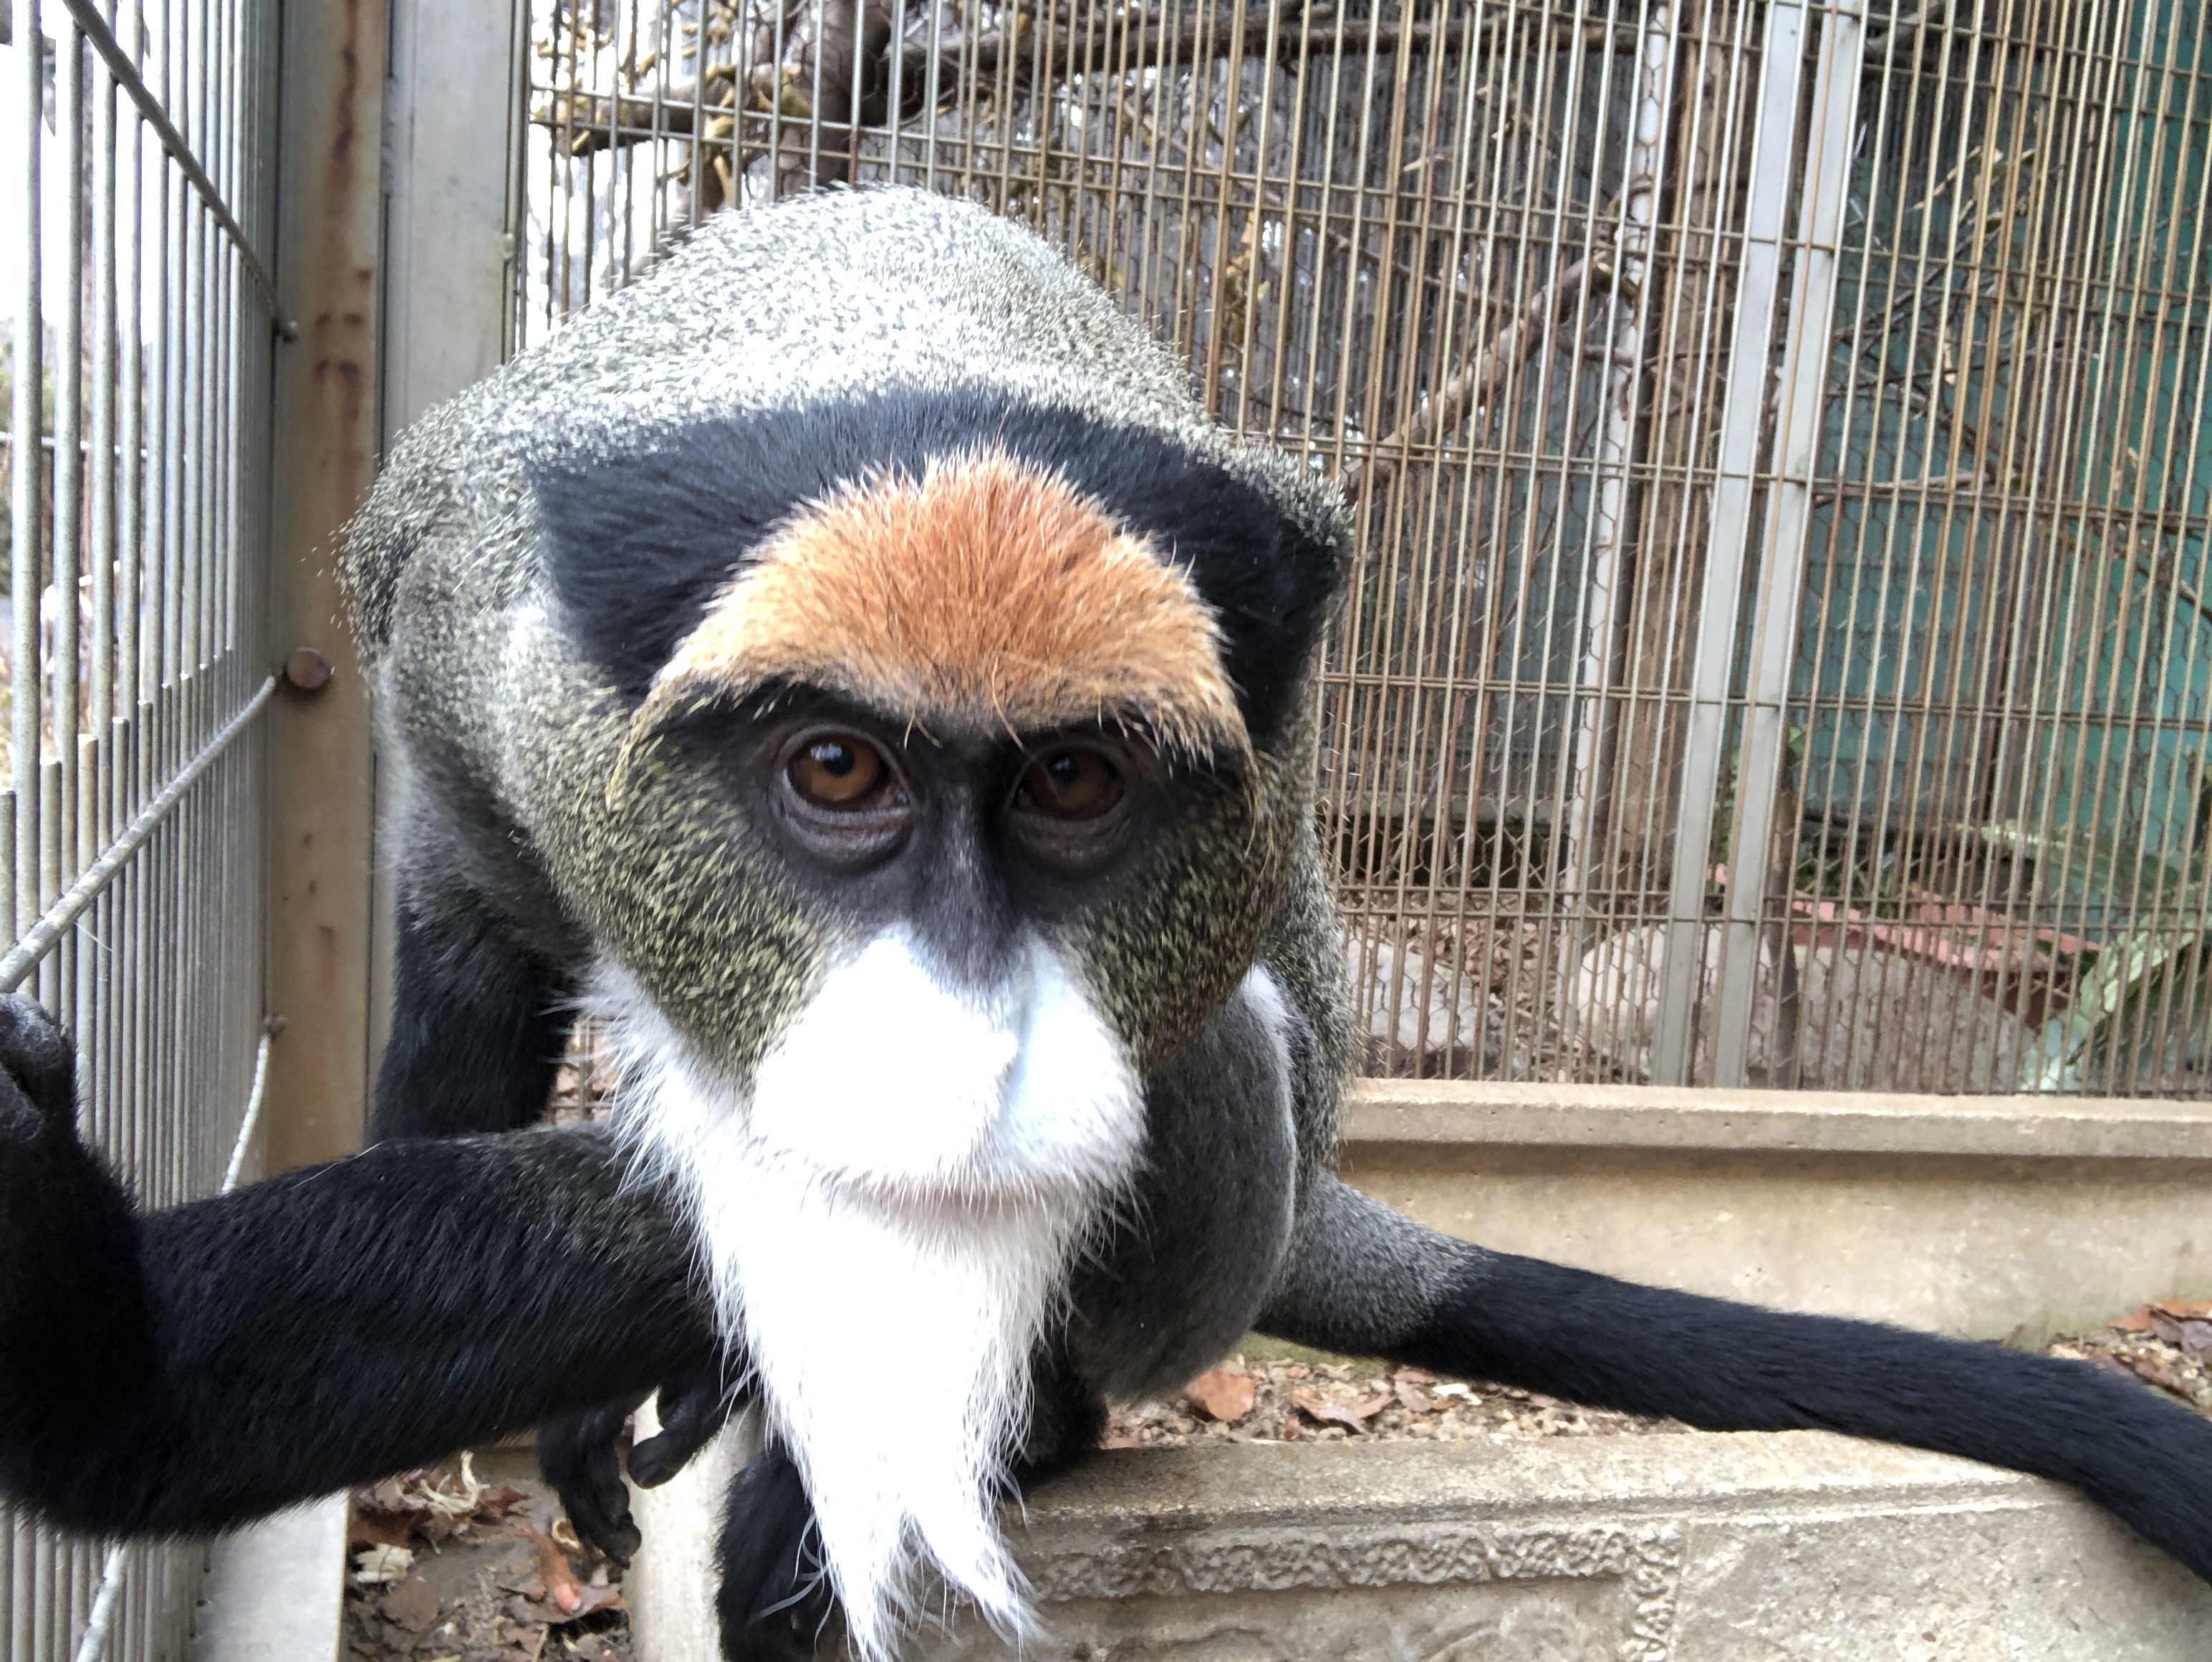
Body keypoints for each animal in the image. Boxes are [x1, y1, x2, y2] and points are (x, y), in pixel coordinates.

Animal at [0, 188, 2203, 1655]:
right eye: (835, 774)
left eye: (1077, 786)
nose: (969, 1040)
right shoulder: (470, 657)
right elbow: (483, 960)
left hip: (1196, 1264)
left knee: (1226, 1065)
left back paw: (1000, 1437)